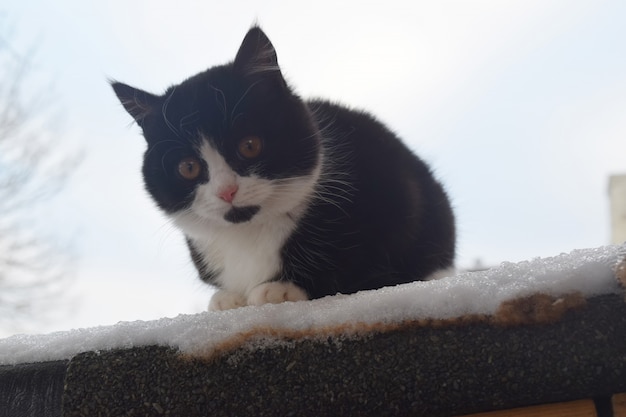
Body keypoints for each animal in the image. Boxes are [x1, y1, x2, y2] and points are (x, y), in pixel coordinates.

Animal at [112, 25, 454, 308]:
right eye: (188, 168)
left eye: (250, 145)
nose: (227, 191)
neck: (248, 234)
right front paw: (227, 298)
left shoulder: (391, 194)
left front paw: (281, 289)